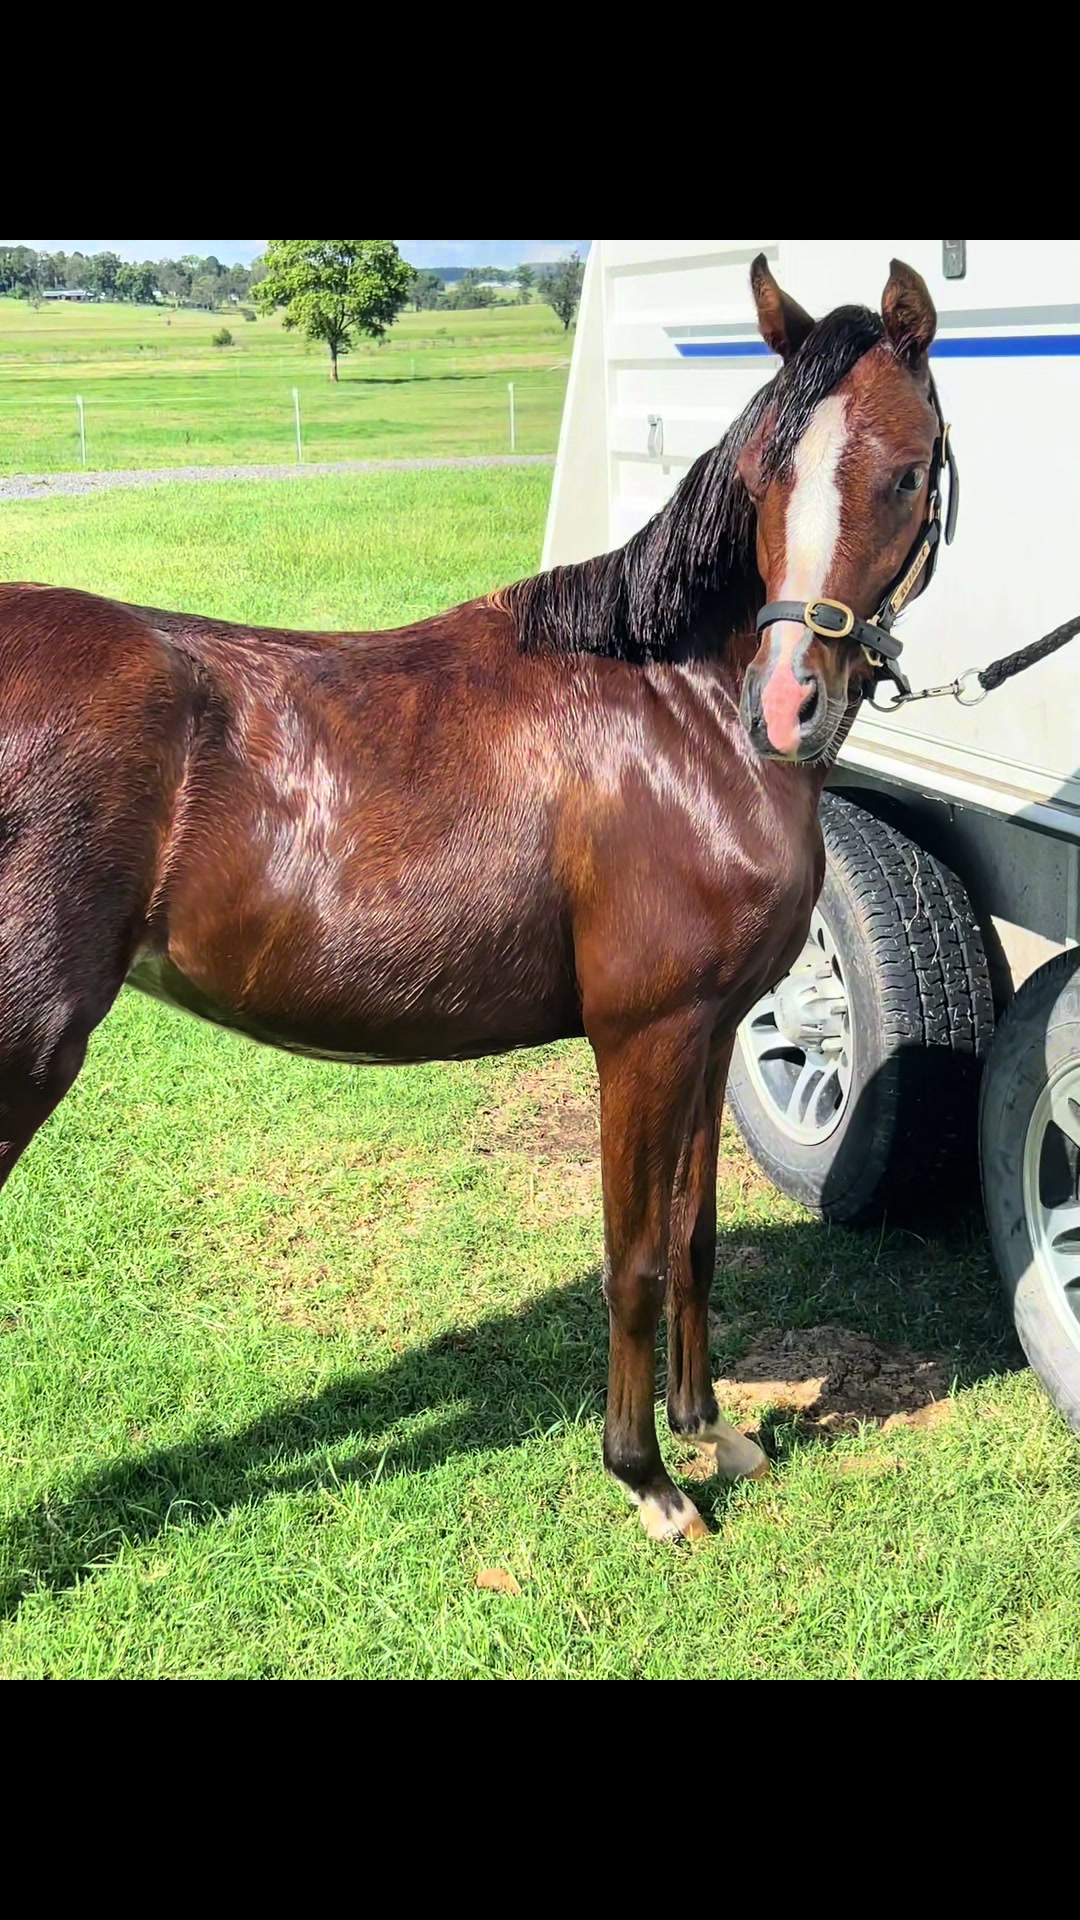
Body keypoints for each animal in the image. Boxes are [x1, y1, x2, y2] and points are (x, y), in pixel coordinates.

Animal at [0, 256, 949, 1542]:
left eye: (905, 470)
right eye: (767, 474)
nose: (789, 704)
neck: (676, 713)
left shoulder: (708, 1033)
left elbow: (694, 1234)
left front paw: (715, 1435)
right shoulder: (643, 1037)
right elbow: (635, 1256)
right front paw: (647, 1477)